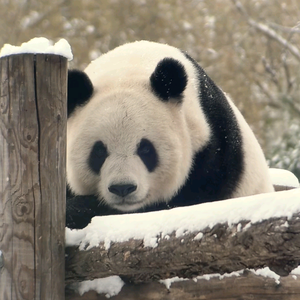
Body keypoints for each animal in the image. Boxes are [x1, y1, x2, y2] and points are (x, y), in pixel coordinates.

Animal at [66, 39, 274, 227]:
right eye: (99, 151)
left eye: (146, 149)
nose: (122, 188)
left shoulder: (210, 155)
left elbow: (178, 203)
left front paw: (81, 210)